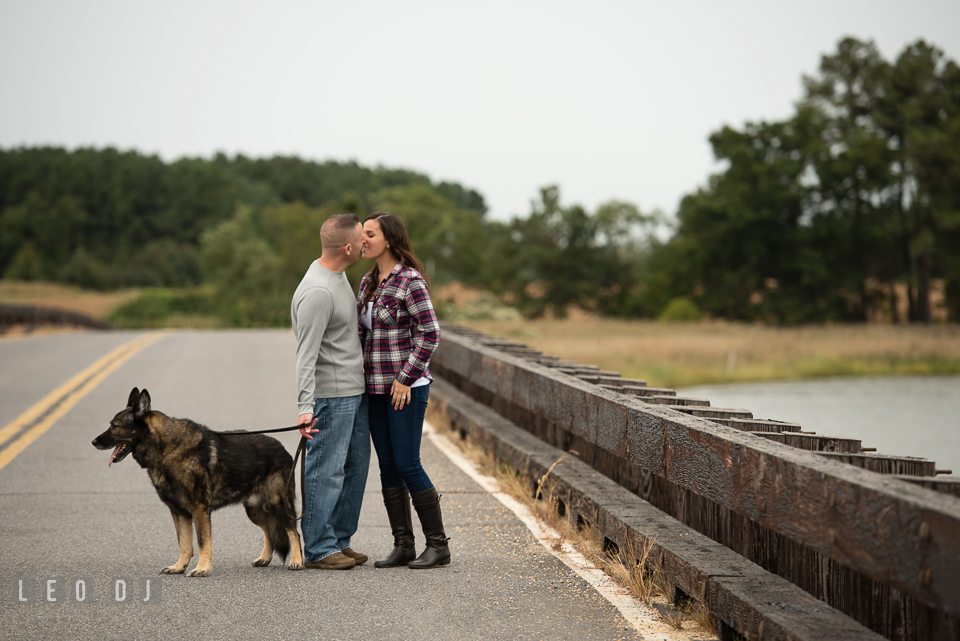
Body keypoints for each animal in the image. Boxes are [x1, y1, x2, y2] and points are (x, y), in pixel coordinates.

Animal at [92, 388, 304, 576]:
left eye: (114, 426)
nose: (93, 442)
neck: (166, 449)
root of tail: (283, 448)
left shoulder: (199, 509)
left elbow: (202, 542)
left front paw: (202, 568)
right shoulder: (179, 512)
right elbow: (184, 544)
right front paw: (179, 567)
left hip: (278, 504)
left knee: (293, 531)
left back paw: (297, 561)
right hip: (255, 511)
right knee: (268, 529)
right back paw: (265, 558)